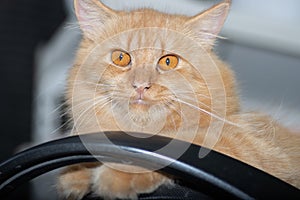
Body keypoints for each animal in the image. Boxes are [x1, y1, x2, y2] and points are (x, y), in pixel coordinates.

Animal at [56, 0, 300, 198]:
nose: (141, 85)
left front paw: (118, 174)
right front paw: (75, 175)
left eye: (168, 62)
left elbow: (179, 144)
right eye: (121, 58)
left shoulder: (254, 148)